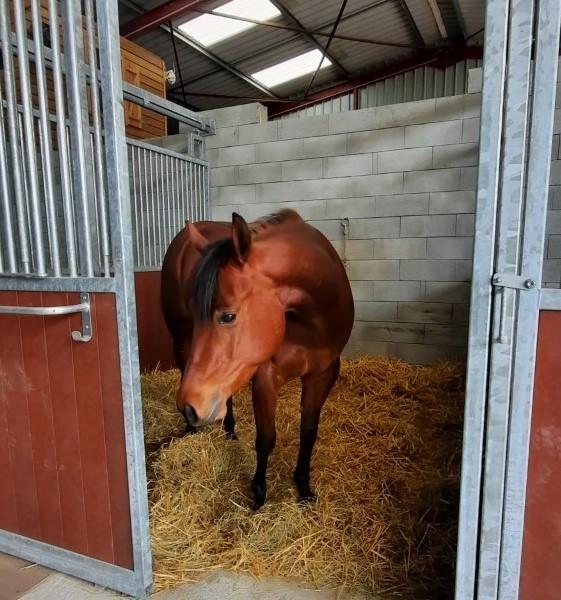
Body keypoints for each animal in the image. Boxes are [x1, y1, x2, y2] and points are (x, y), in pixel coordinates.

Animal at [162, 209, 352, 508]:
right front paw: (259, 494)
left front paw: (303, 486)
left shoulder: (323, 374)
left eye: (228, 316)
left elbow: (308, 431)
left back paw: (228, 430)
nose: (190, 407)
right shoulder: (265, 375)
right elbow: (266, 438)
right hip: (181, 341)